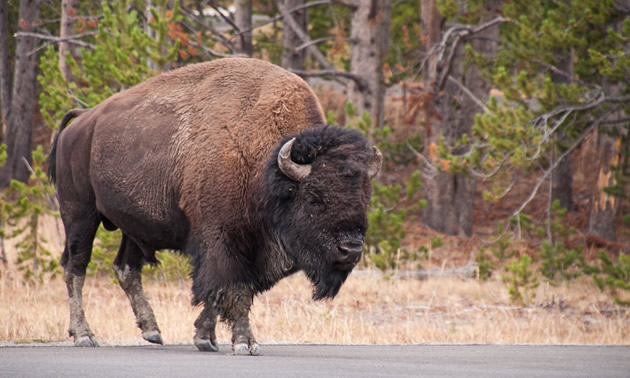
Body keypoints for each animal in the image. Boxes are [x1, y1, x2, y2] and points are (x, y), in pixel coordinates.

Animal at [49, 57, 382, 356]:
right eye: (314, 197)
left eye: (365, 196)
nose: (350, 249)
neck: (265, 165)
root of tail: (83, 119)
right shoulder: (224, 241)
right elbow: (234, 290)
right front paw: (244, 343)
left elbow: (221, 293)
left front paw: (205, 337)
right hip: (79, 214)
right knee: (75, 267)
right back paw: (84, 335)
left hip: (133, 226)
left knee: (126, 268)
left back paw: (152, 331)